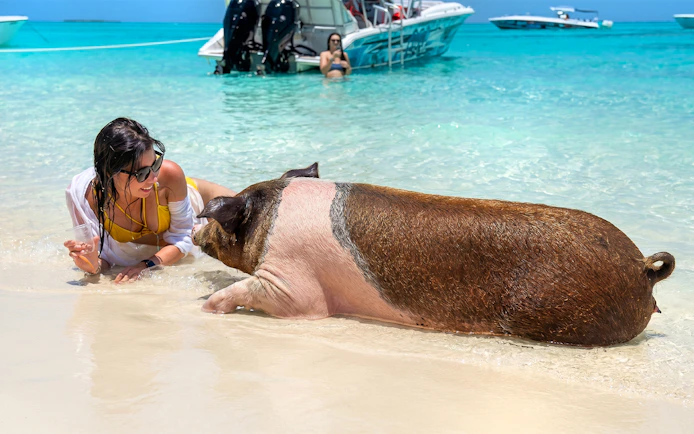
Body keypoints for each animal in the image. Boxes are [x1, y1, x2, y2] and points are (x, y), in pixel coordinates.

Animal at [192, 163, 675, 346]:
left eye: (223, 217)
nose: (197, 225)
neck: (270, 218)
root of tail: (643, 267)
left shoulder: (294, 286)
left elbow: (260, 291)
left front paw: (207, 306)